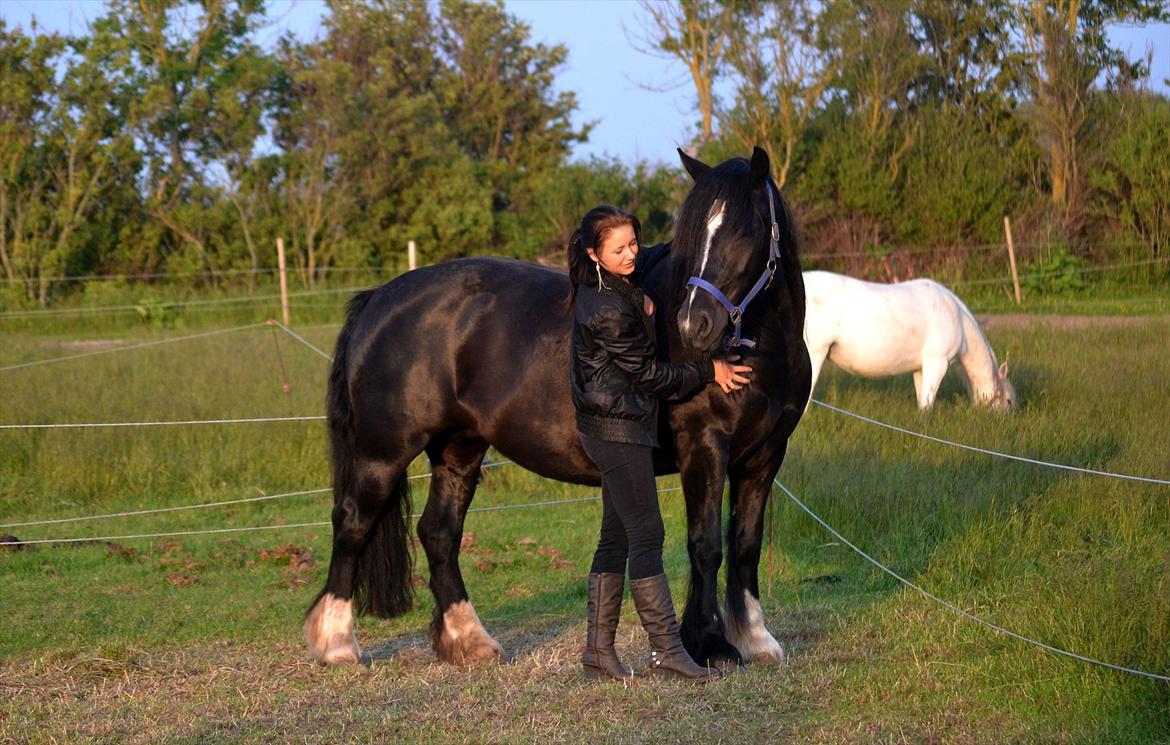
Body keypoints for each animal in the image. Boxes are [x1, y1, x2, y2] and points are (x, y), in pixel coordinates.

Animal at [306, 145, 809, 668]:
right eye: (695, 234)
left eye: (743, 230)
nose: (695, 325)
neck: (763, 351)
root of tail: (379, 298)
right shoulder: (704, 447)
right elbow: (706, 544)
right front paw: (711, 643)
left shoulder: (764, 457)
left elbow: (746, 543)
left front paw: (755, 638)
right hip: (383, 453)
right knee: (352, 522)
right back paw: (336, 643)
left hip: (459, 449)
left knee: (438, 533)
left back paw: (469, 640)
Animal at [804, 271, 1015, 411]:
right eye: (1008, 401)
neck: (958, 317)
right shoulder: (937, 363)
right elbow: (927, 404)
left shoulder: (920, 369)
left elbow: (922, 400)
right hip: (815, 354)